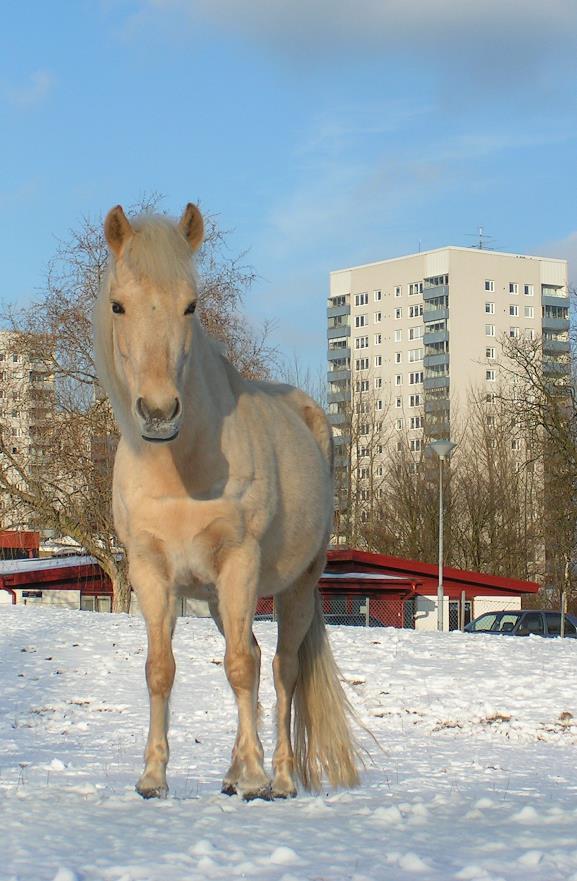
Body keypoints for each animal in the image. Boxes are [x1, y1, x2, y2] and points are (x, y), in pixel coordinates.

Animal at [93, 205, 358, 796]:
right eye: (118, 305)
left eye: (190, 305)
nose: (159, 413)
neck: (181, 472)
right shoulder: (151, 572)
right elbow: (161, 668)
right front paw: (153, 777)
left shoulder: (240, 563)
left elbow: (238, 667)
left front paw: (259, 777)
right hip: (217, 599)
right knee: (258, 659)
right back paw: (235, 773)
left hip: (294, 587)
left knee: (280, 669)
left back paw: (277, 777)